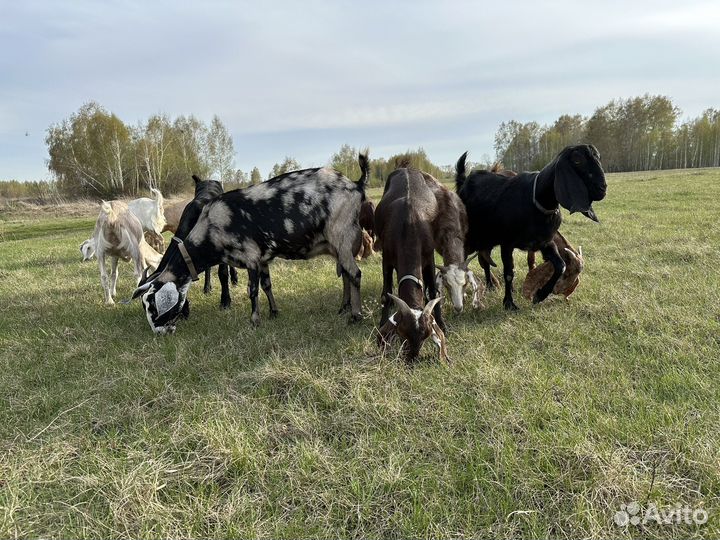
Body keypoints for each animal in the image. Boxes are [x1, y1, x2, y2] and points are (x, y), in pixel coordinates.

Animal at [132, 154, 370, 334]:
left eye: (152, 306)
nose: (159, 332)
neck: (211, 224)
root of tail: (356, 185)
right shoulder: (262, 259)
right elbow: (266, 285)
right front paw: (273, 312)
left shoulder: (251, 257)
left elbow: (252, 290)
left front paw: (254, 321)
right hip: (337, 245)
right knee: (346, 275)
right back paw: (343, 308)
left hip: (341, 236)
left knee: (354, 274)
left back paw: (355, 316)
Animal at [374, 166, 448, 363]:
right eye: (402, 333)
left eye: (426, 336)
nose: (412, 357)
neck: (408, 224)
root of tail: (407, 168)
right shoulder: (386, 258)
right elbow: (386, 294)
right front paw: (382, 321)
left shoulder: (429, 257)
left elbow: (433, 292)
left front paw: (442, 323)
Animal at [456, 145, 606, 310]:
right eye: (577, 160)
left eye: (599, 157)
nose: (602, 188)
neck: (537, 201)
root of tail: (464, 182)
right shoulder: (507, 243)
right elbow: (509, 273)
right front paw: (509, 303)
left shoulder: (544, 242)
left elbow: (559, 265)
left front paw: (540, 295)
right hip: (472, 237)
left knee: (484, 258)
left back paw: (490, 284)